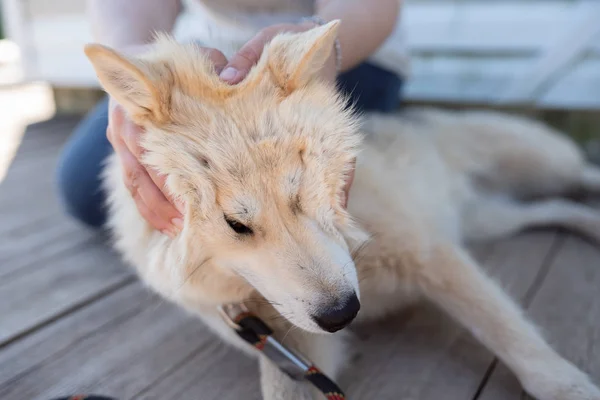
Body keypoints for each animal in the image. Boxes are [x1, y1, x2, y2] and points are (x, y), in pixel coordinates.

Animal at [84, 22, 600, 400]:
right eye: (236, 224)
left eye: (302, 189)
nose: (343, 314)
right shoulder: (296, 347)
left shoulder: (430, 252)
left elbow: (505, 329)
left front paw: (567, 386)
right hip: (491, 218)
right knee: (551, 208)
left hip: (538, 160)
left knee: (578, 174)